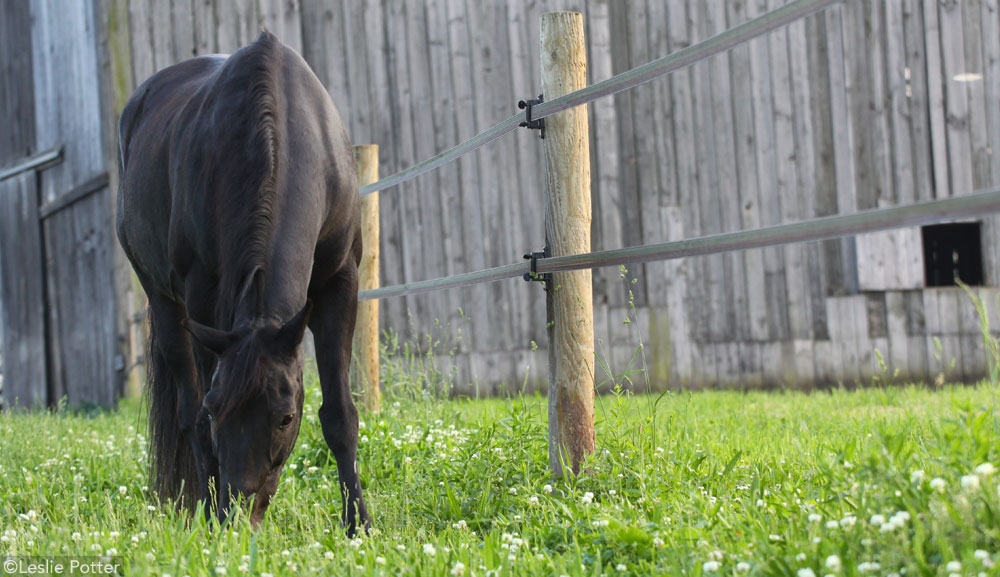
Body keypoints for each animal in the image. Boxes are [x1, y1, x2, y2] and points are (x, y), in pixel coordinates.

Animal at [117, 31, 368, 532]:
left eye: (285, 417)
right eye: (219, 410)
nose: (237, 515)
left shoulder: (340, 282)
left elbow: (339, 414)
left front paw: (359, 525)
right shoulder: (201, 298)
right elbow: (197, 417)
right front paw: (210, 512)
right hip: (163, 302)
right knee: (185, 411)